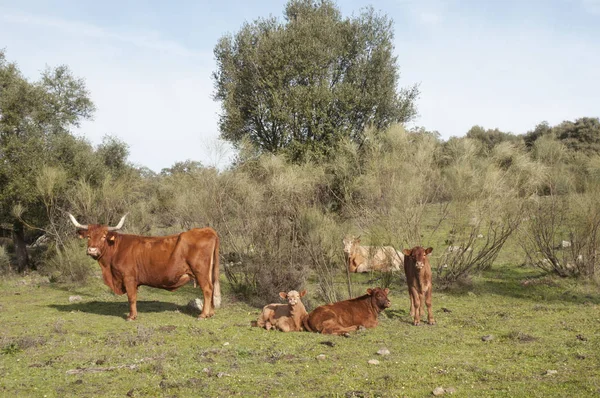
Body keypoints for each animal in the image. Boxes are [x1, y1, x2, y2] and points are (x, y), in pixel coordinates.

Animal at [68, 215, 220, 320]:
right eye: (88, 236)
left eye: (103, 237)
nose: (92, 250)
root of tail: (207, 230)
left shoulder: (128, 278)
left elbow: (131, 297)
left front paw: (131, 316)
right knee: (212, 288)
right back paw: (210, 313)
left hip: (200, 272)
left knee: (207, 289)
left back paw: (203, 314)